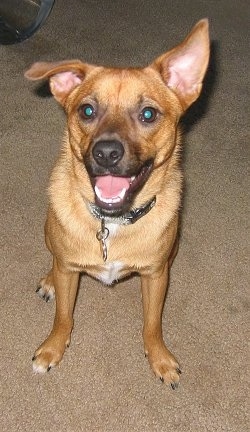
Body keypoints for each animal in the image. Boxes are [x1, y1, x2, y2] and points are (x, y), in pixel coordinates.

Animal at [24, 19, 209, 388]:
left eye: (148, 113)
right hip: (50, 236)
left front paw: (159, 358)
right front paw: (53, 348)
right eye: (87, 110)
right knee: (54, 260)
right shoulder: (69, 271)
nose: (106, 152)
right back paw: (50, 280)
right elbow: (63, 316)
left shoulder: (155, 275)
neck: (112, 223)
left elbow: (152, 324)